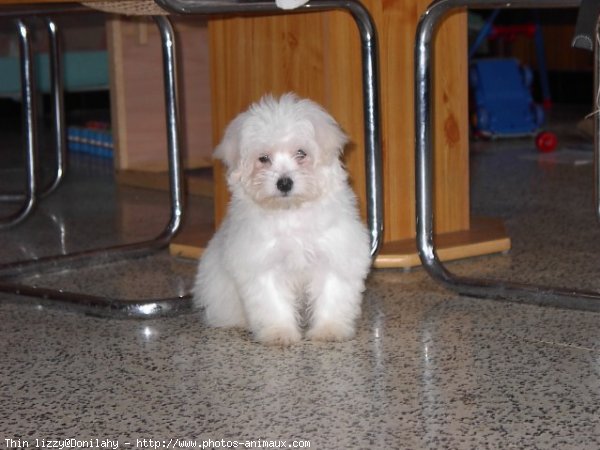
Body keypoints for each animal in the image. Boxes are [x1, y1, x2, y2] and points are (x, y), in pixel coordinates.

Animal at [193, 93, 370, 346]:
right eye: (263, 159)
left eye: (301, 153)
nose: (284, 183)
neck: (290, 212)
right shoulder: (262, 263)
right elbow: (273, 301)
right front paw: (279, 333)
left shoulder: (334, 255)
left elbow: (331, 294)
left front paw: (329, 330)